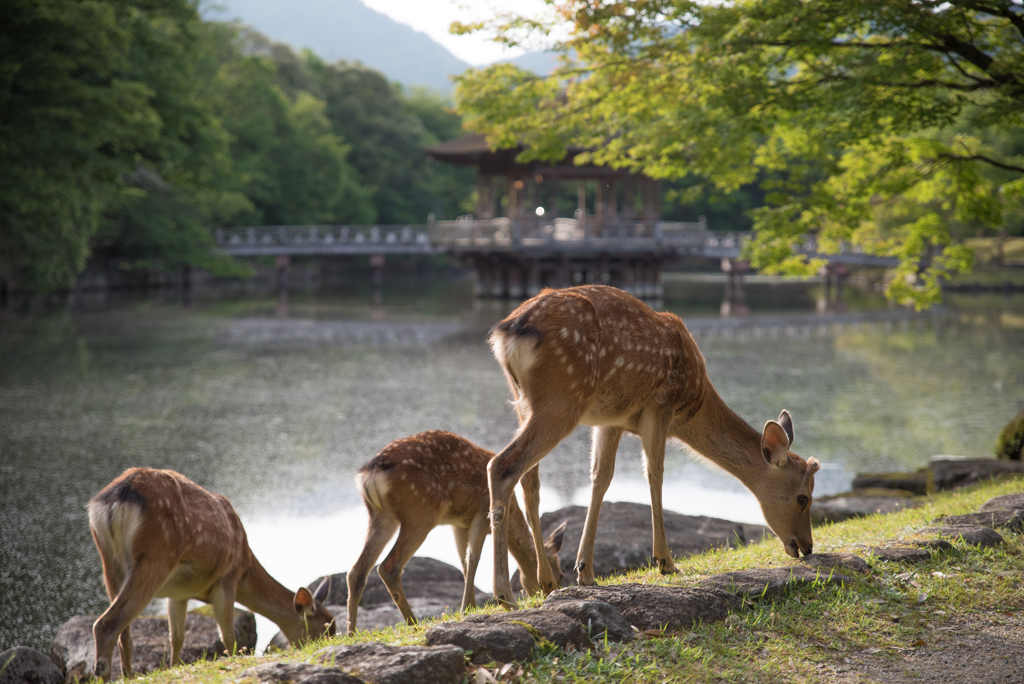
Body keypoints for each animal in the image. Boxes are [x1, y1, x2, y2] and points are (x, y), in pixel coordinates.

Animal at [88, 466, 335, 679]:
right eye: (323, 631)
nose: (326, 646)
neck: (246, 566)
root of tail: (115, 499)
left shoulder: (178, 594)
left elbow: (176, 638)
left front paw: (174, 668)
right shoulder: (227, 578)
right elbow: (229, 638)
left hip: (109, 562)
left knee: (124, 635)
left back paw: (127, 676)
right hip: (155, 555)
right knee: (107, 623)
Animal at [348, 432, 565, 634]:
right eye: (560, 574)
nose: (550, 591)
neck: (512, 512)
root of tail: (370, 475)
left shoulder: (459, 524)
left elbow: (464, 562)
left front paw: (470, 608)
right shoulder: (482, 512)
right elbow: (474, 559)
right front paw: (466, 609)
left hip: (381, 517)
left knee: (356, 571)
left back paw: (351, 633)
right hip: (421, 513)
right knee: (388, 567)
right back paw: (413, 623)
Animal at [487, 282, 823, 602]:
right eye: (803, 498)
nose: (806, 546)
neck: (693, 403)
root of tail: (508, 331)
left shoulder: (612, 419)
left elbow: (600, 478)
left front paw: (586, 571)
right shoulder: (660, 405)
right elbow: (655, 474)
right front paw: (666, 562)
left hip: (524, 402)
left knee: (529, 479)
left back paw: (545, 581)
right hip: (563, 397)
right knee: (502, 465)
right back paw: (504, 594)